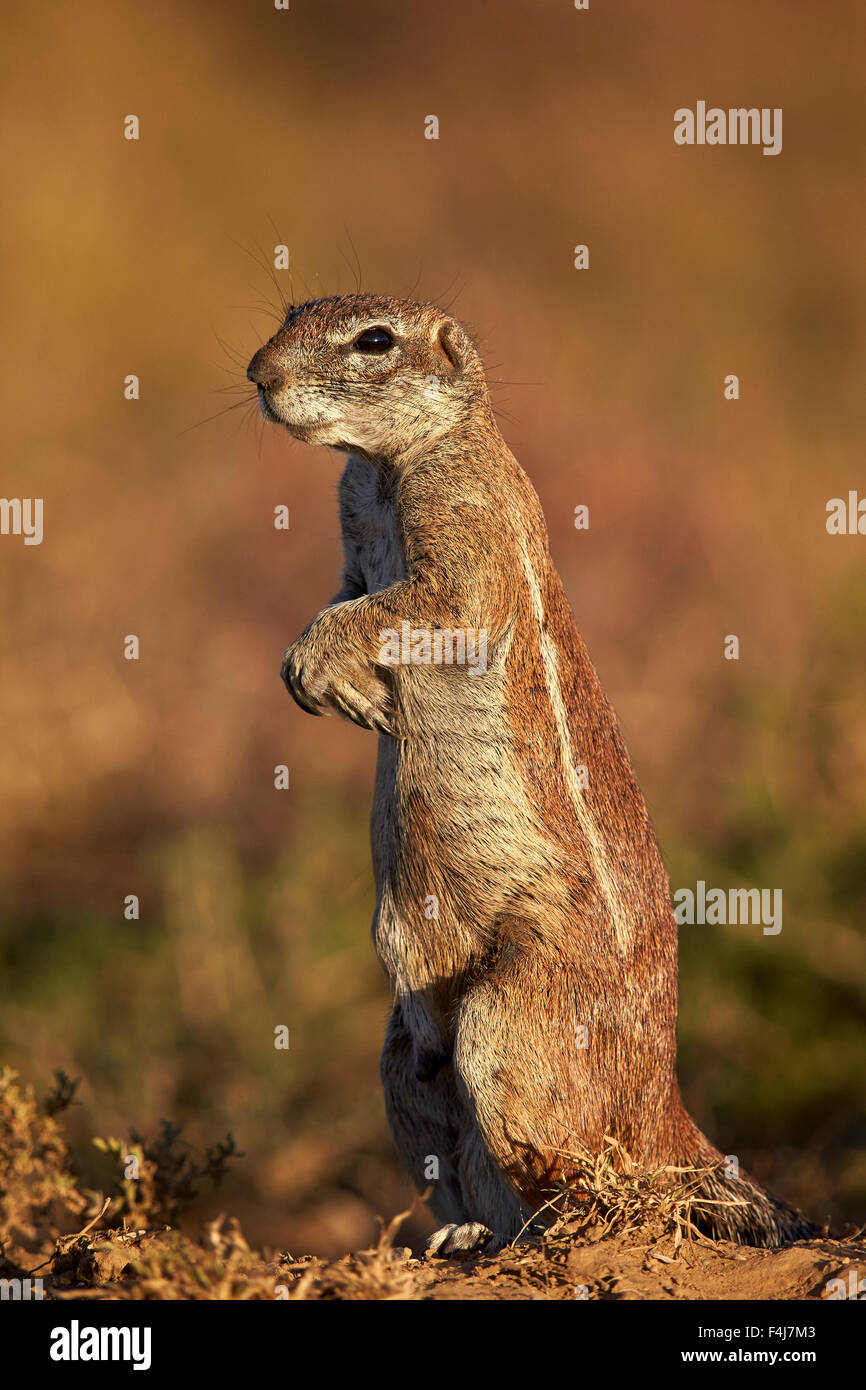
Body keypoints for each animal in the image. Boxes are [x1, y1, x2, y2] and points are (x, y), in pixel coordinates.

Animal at [247, 290, 817, 1251]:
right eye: (290, 311)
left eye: (374, 341)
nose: (259, 374)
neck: (389, 467)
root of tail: (665, 1106)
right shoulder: (353, 538)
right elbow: (345, 594)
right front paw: (337, 685)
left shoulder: (464, 534)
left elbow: (412, 604)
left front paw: (319, 664)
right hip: (402, 1061)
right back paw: (468, 1237)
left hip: (511, 1017)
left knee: (577, 1171)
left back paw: (559, 1229)